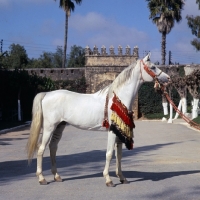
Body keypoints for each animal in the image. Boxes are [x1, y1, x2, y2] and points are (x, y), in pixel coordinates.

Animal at [26, 54, 170, 187]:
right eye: (153, 67)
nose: (168, 78)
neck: (118, 99)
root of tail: (46, 94)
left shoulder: (119, 132)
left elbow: (119, 155)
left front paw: (122, 178)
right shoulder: (112, 132)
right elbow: (109, 154)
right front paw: (108, 179)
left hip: (59, 126)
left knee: (53, 147)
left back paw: (57, 176)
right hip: (49, 127)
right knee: (41, 149)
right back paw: (42, 178)